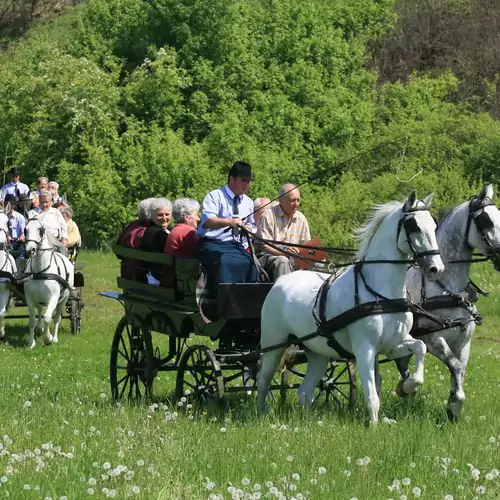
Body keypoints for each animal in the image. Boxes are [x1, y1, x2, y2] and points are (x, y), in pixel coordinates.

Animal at [23, 217, 74, 350]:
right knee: (41, 310)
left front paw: (48, 339)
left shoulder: (54, 297)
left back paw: (55, 338)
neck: (41, 271)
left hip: (63, 299)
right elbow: (32, 320)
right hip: (40, 299)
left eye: (40, 230)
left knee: (56, 318)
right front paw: (31, 342)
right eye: (25, 230)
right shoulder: (29, 298)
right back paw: (40, 328)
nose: (30, 249)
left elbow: (48, 318)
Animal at [398, 186, 500, 420]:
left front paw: (453, 408)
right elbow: (454, 365)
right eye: (486, 221)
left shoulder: (464, 342)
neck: (446, 287)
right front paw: (456, 403)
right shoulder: (433, 339)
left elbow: (459, 370)